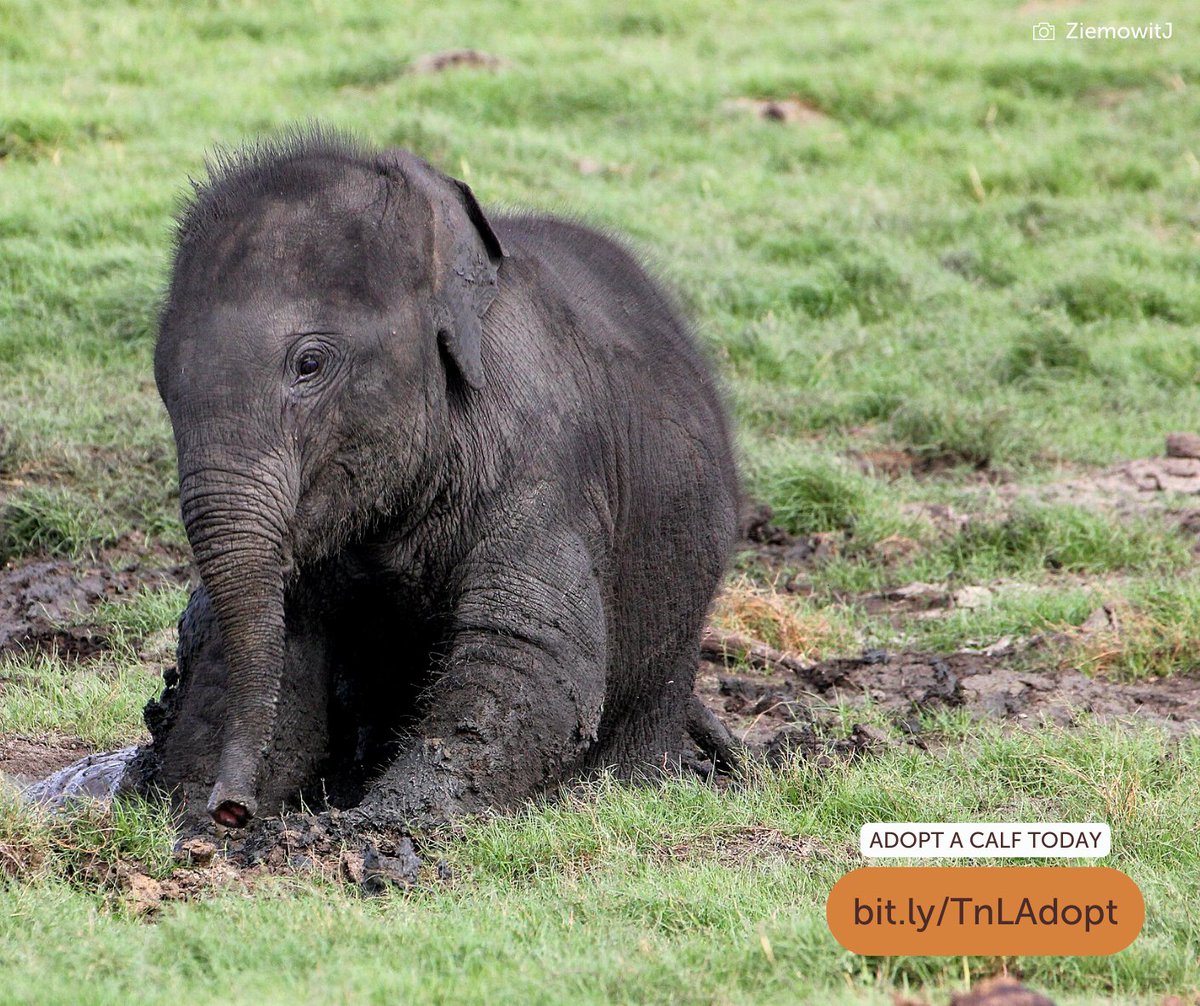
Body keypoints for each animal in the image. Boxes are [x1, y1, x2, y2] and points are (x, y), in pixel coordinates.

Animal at [77, 130, 739, 833]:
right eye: (162, 383)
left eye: (308, 364)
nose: (232, 808)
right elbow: (280, 650)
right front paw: (188, 815)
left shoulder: (546, 462)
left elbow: (531, 659)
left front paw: (367, 825)